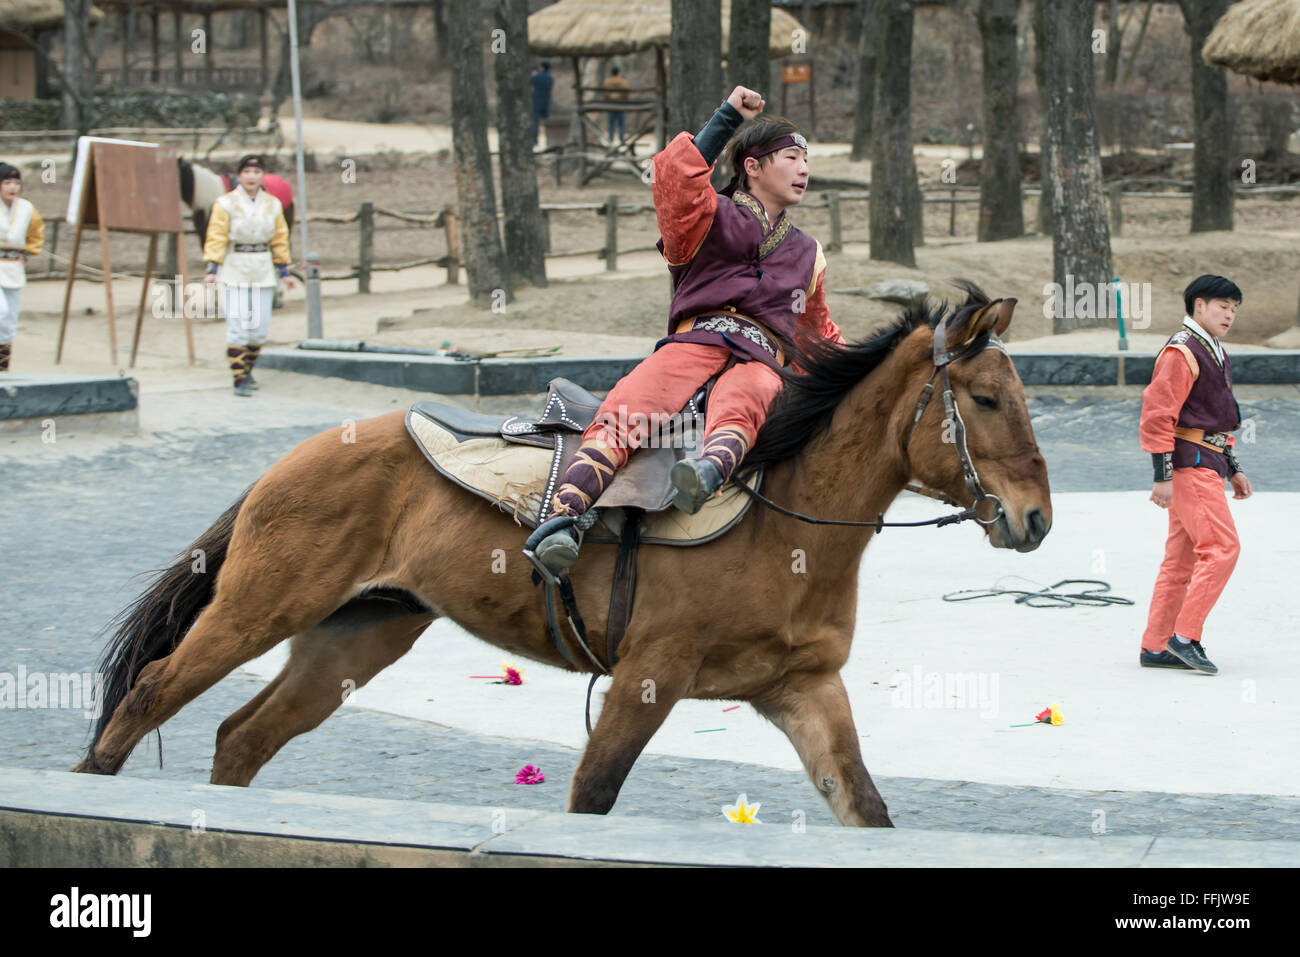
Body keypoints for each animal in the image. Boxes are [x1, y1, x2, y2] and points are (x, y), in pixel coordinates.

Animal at [71, 280, 1050, 826]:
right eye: (987, 398)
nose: (1037, 517)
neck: (783, 519)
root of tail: (292, 459)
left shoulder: (803, 689)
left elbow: (865, 806)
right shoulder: (648, 676)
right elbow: (593, 794)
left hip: (356, 634)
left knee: (241, 737)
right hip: (257, 610)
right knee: (151, 693)